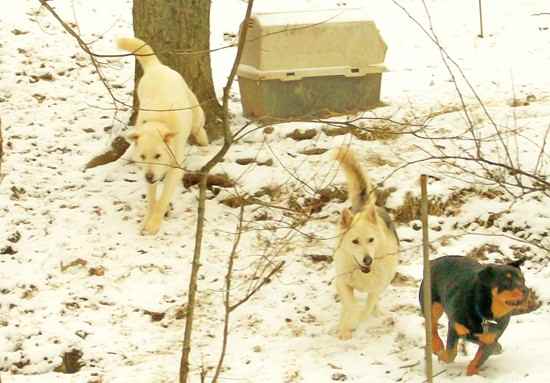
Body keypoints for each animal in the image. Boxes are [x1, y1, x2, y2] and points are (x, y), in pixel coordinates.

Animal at [118, 37, 209, 236]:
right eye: (142, 156)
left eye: (158, 155)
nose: (149, 177)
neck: (158, 121)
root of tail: (156, 67)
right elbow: (152, 198)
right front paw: (147, 219)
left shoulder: (175, 169)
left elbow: (163, 199)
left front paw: (154, 224)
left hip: (194, 109)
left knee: (199, 127)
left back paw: (204, 144)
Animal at [332, 147, 402, 340]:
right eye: (355, 241)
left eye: (371, 240)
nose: (368, 260)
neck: (363, 272)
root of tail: (365, 208)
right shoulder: (343, 283)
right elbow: (351, 305)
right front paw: (346, 326)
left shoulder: (376, 288)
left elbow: (367, 307)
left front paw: (359, 320)